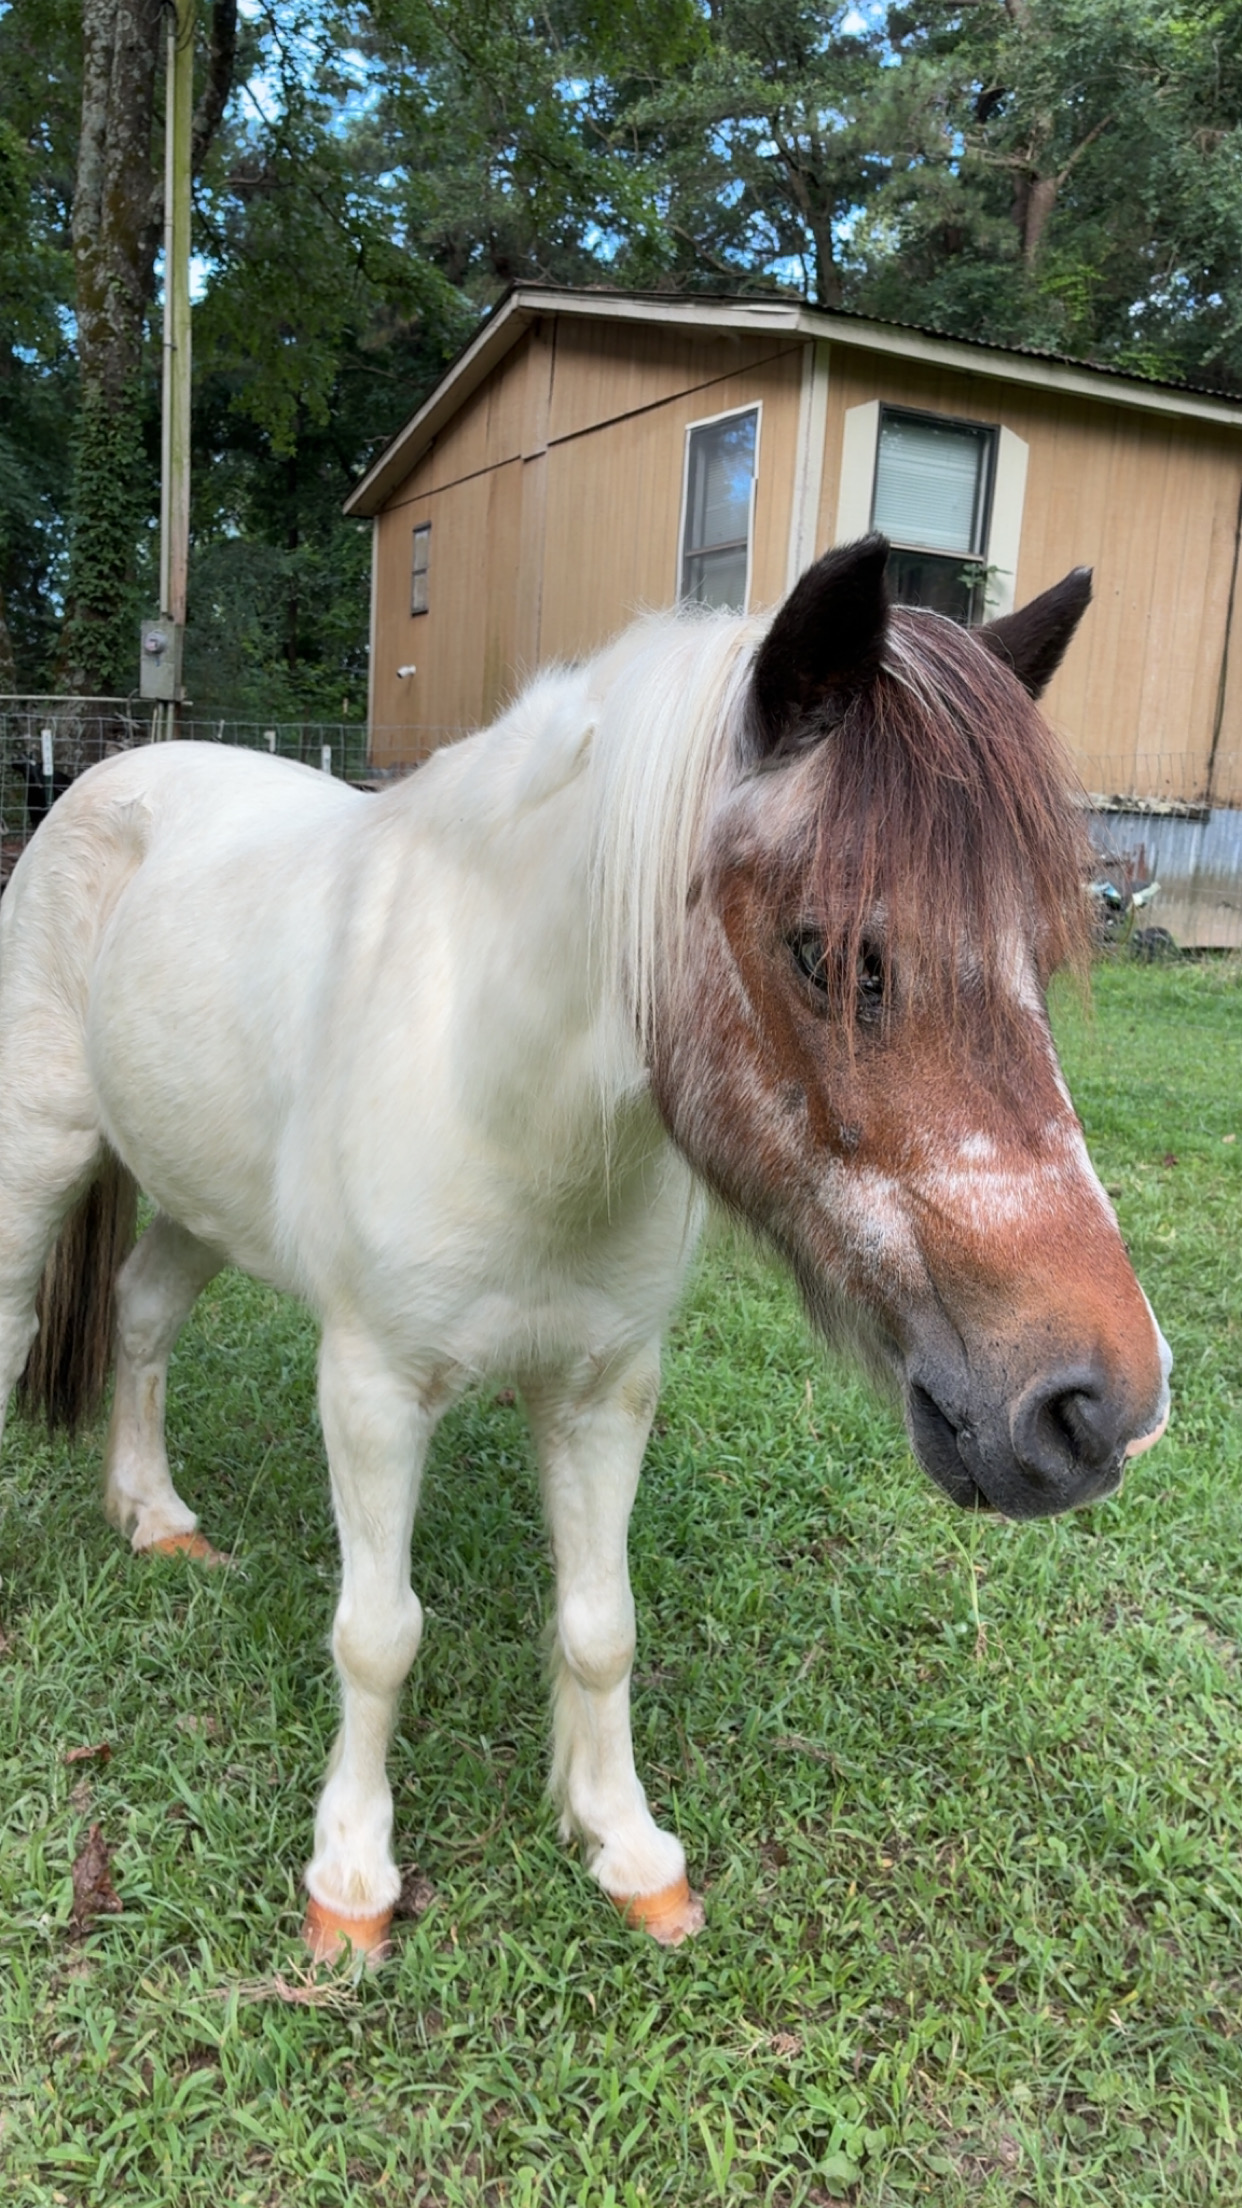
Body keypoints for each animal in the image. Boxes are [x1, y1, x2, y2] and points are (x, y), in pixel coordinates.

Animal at [0, 538, 1170, 1959]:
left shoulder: (605, 1390)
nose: (1097, 1410)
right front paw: (351, 1882)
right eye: (829, 954)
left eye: (1040, 961)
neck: (499, 1090)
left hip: (197, 1199)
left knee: (141, 1312)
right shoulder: (372, 1388)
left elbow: (602, 1626)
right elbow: (379, 1633)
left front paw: (626, 1848)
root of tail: (105, 776)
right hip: (39, 1155)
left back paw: (156, 1515)